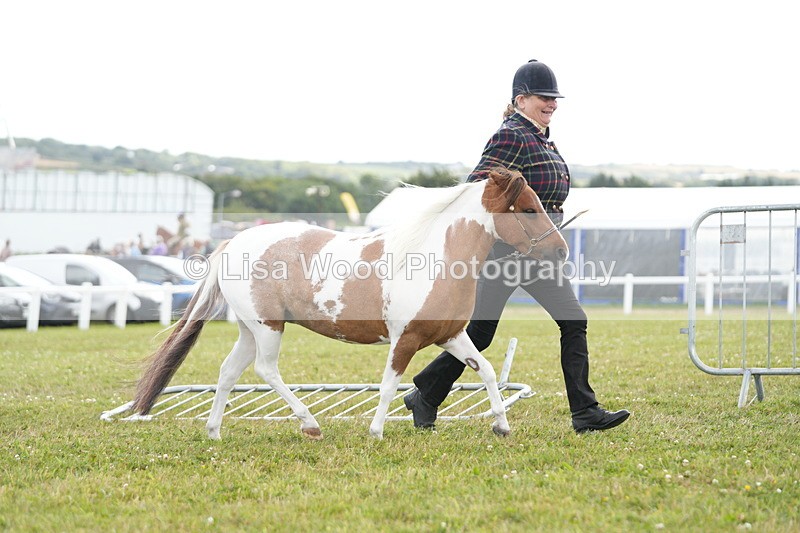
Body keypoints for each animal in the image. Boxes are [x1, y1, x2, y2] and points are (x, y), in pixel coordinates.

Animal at [132, 168, 569, 440]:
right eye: (528, 208)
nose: (561, 251)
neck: (434, 258)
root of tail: (232, 241)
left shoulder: (451, 336)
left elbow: (489, 372)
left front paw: (501, 426)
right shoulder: (404, 340)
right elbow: (389, 385)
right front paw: (376, 431)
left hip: (249, 329)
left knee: (227, 372)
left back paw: (214, 432)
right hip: (268, 328)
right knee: (265, 370)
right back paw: (310, 424)